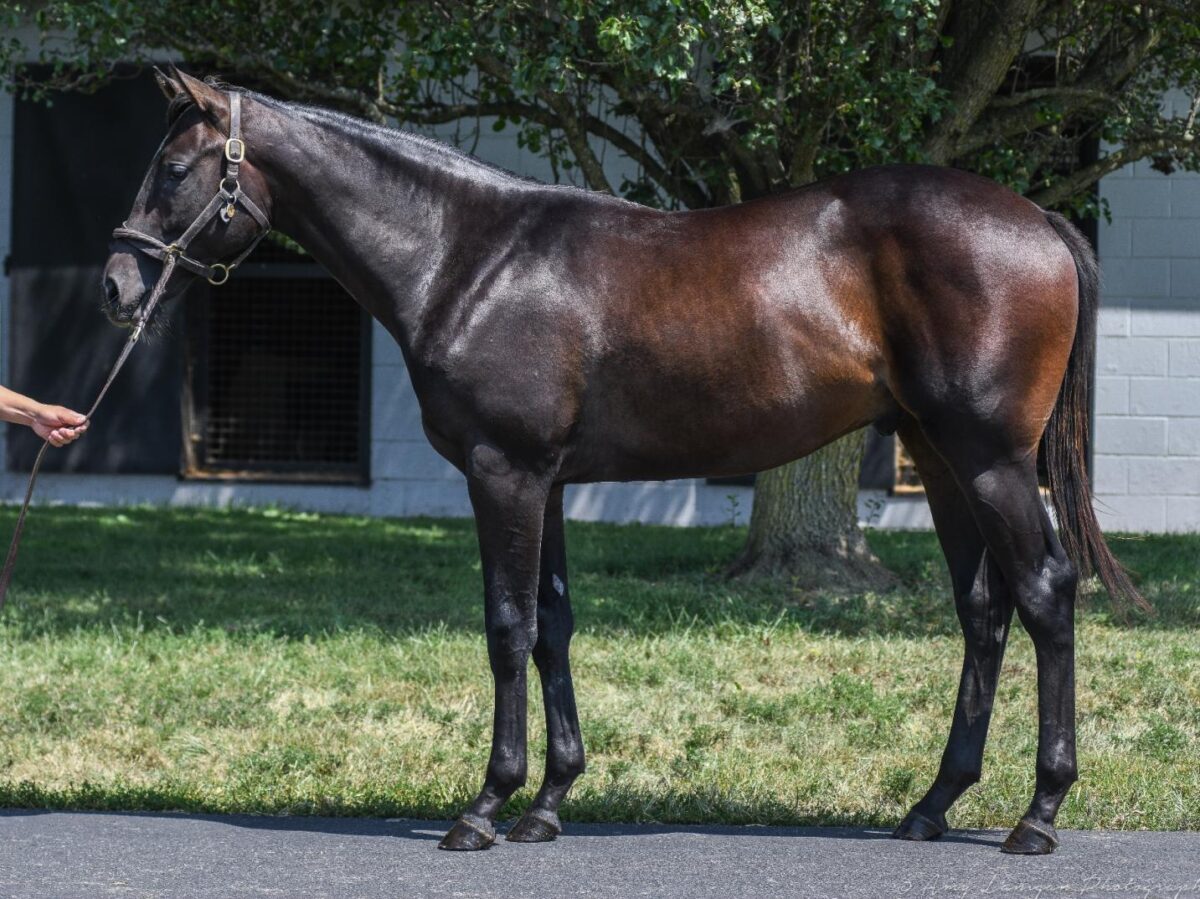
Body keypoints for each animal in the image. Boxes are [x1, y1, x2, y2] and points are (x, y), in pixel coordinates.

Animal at [100, 66, 1132, 854]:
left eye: (176, 166)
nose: (115, 285)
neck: (466, 257)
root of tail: (1038, 219)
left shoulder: (503, 472)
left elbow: (507, 626)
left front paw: (485, 806)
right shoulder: (545, 481)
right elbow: (553, 625)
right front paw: (549, 802)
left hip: (991, 458)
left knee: (1045, 592)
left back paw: (1039, 812)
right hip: (941, 456)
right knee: (983, 609)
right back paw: (932, 804)